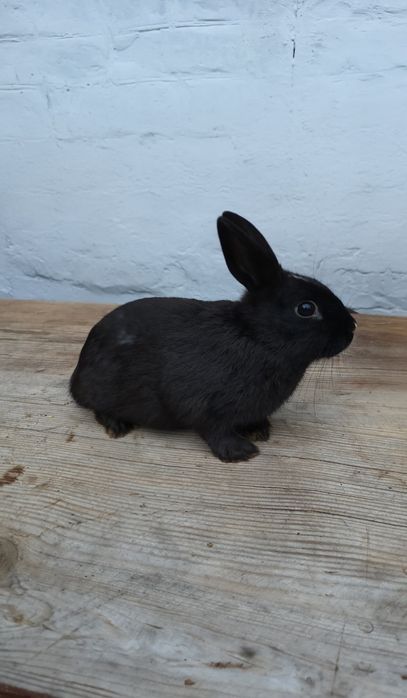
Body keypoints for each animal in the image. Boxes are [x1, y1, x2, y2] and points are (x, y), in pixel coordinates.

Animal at [70, 211, 356, 462]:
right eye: (306, 308)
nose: (352, 328)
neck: (257, 337)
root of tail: (78, 371)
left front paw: (259, 430)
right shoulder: (203, 405)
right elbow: (214, 430)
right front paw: (241, 452)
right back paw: (117, 425)